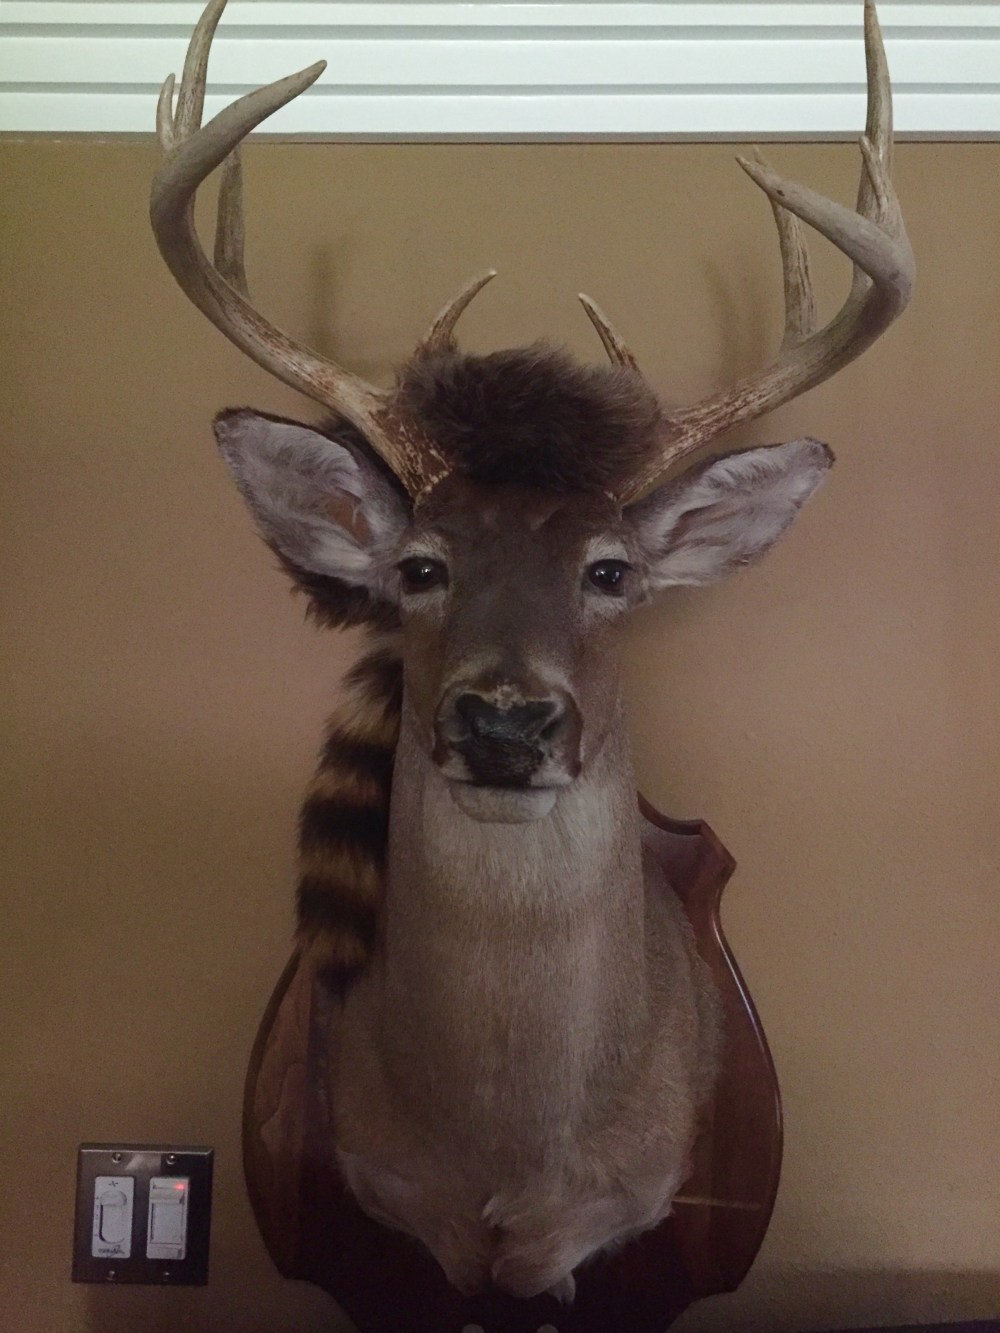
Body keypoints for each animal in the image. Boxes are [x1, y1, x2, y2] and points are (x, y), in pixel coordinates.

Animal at [150, 0, 913, 1305]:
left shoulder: (614, 1216)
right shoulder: (400, 1207)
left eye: (611, 572)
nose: (504, 720)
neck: (504, 1150)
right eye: (419, 567)